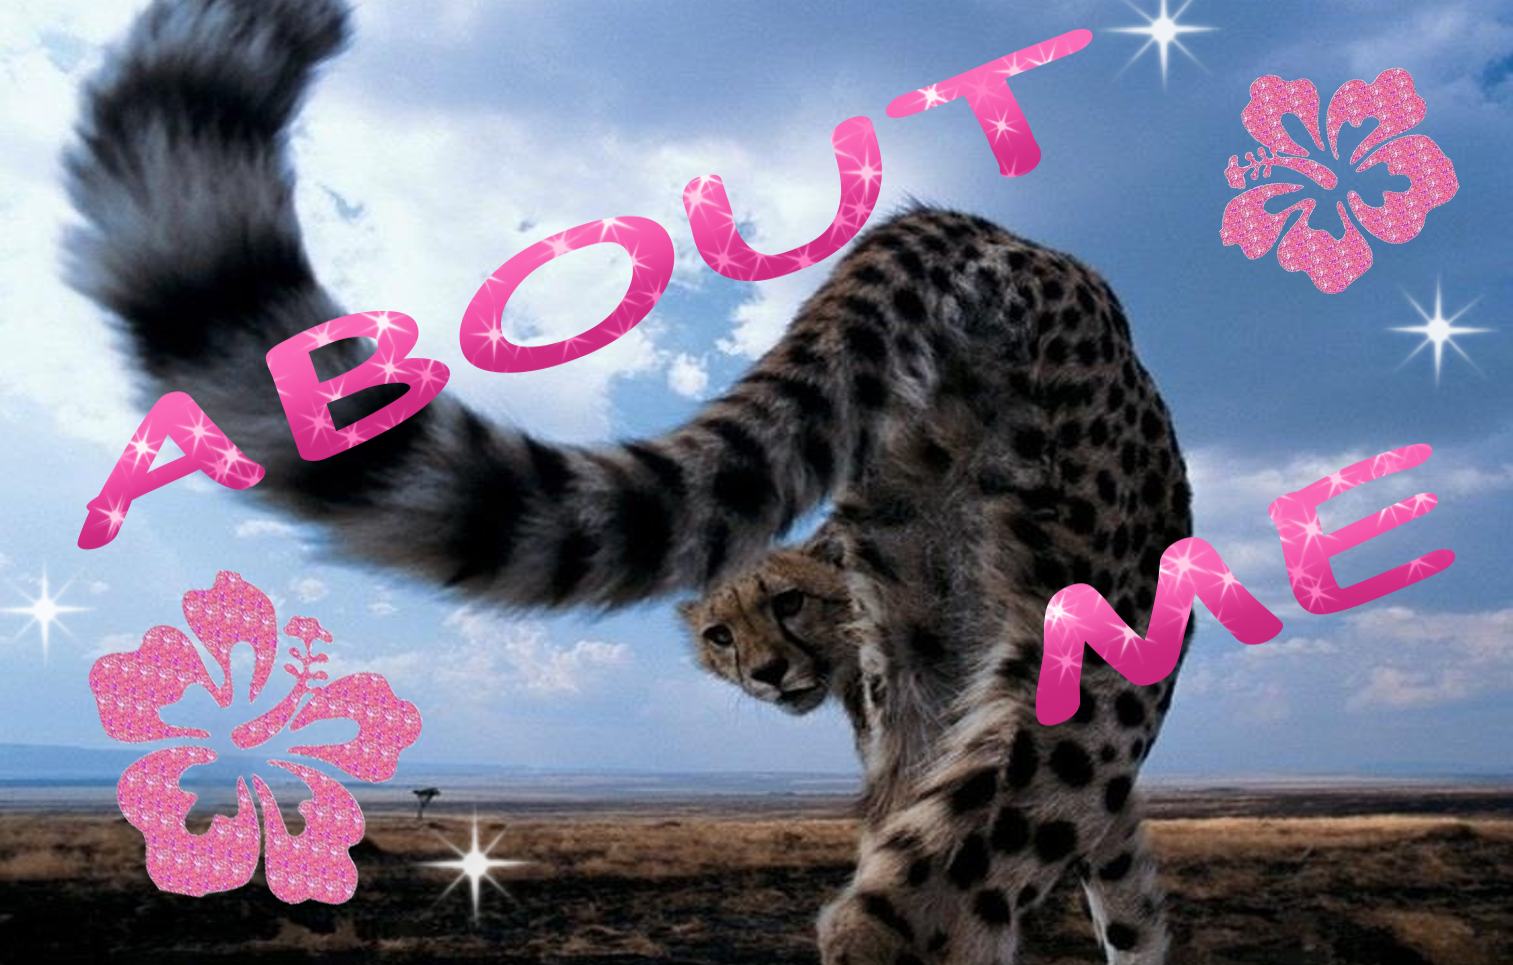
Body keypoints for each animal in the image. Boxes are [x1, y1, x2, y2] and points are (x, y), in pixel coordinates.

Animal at [62, 1, 1194, 962]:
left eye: (788, 603)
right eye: (720, 634)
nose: (766, 674)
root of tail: (960, 224)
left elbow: (1126, 894)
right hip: (1092, 657)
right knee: (916, 908)